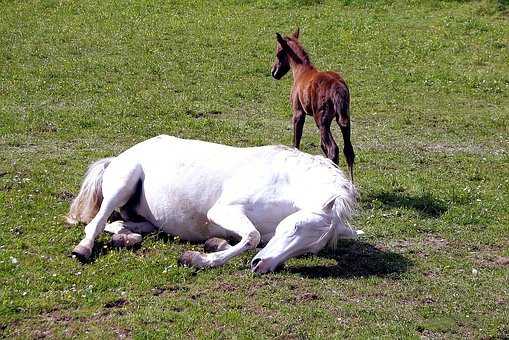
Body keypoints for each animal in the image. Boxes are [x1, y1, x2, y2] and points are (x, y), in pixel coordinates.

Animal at [67, 135, 362, 274]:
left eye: (309, 250)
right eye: (294, 228)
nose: (262, 266)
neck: (285, 183)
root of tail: (120, 156)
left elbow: (252, 240)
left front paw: (214, 246)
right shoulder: (223, 211)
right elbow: (252, 237)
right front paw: (198, 258)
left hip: (143, 217)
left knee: (121, 225)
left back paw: (127, 237)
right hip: (122, 184)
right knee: (97, 222)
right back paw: (83, 249)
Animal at [270, 28, 354, 182]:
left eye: (278, 53)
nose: (274, 72)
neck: (301, 70)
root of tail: (337, 87)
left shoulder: (298, 112)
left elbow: (296, 142)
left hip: (322, 121)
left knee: (333, 150)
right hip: (344, 120)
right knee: (348, 151)